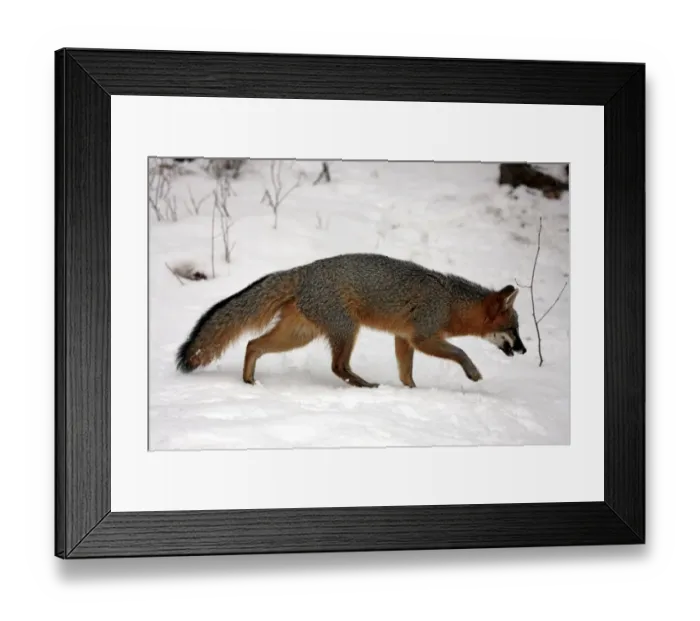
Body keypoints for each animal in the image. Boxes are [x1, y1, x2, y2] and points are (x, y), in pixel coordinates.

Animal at [175, 253, 526, 388]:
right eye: (513, 330)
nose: (524, 350)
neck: (450, 300)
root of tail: (302, 269)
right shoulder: (423, 337)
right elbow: (461, 352)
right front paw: (473, 372)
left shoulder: (403, 339)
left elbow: (406, 374)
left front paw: (412, 391)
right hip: (347, 330)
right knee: (338, 367)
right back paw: (365, 386)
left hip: (297, 336)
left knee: (252, 344)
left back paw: (249, 382)